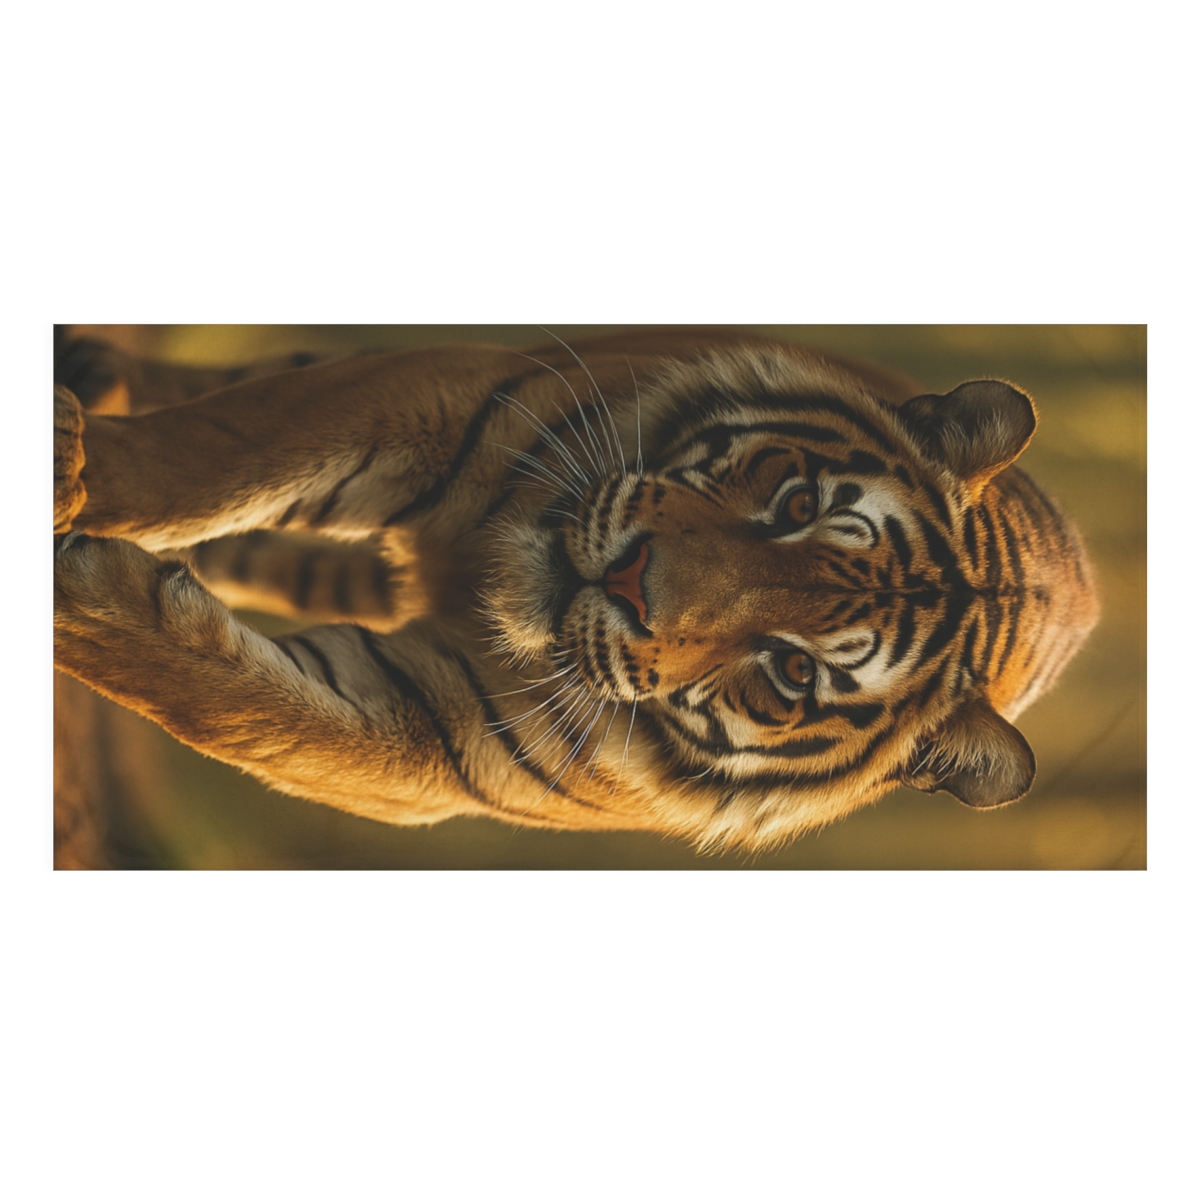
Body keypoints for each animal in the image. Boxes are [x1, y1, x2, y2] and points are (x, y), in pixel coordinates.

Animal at [52, 328, 1099, 852]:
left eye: (791, 676)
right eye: (796, 502)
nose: (632, 579)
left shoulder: (424, 735)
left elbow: (241, 711)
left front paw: (84, 591)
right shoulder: (442, 396)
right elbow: (212, 455)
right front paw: (71, 468)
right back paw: (91, 372)